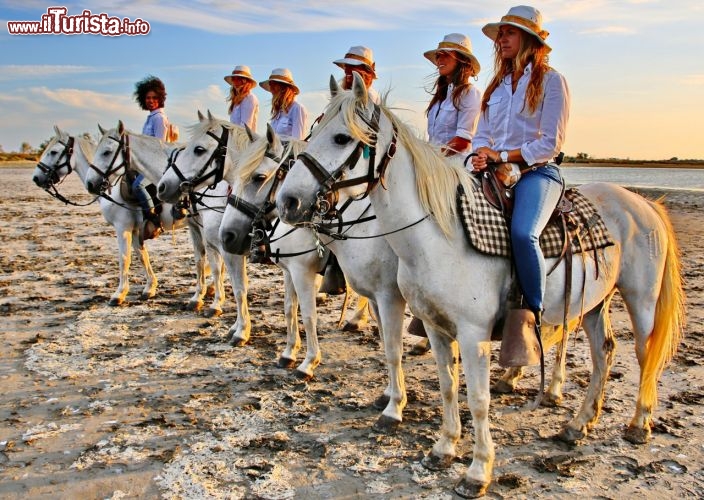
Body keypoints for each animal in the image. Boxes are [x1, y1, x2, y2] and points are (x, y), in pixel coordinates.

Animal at [33, 125, 208, 306]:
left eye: (53, 152)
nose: (36, 177)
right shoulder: (136, 230)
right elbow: (142, 255)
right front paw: (149, 287)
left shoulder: (122, 227)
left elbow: (124, 258)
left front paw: (119, 294)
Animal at [82, 122, 239, 324]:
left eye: (107, 152)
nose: (90, 183)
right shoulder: (194, 227)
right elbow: (198, 261)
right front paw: (196, 297)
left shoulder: (123, 227)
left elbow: (124, 258)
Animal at [276, 76, 680, 498]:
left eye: (340, 137)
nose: (287, 201)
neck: (439, 235)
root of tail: (644, 204)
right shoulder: (435, 327)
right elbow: (448, 385)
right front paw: (444, 448)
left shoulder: (472, 333)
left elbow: (478, 398)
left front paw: (477, 470)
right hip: (591, 304)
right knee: (605, 353)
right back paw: (578, 424)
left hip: (641, 300)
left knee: (645, 355)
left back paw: (639, 423)